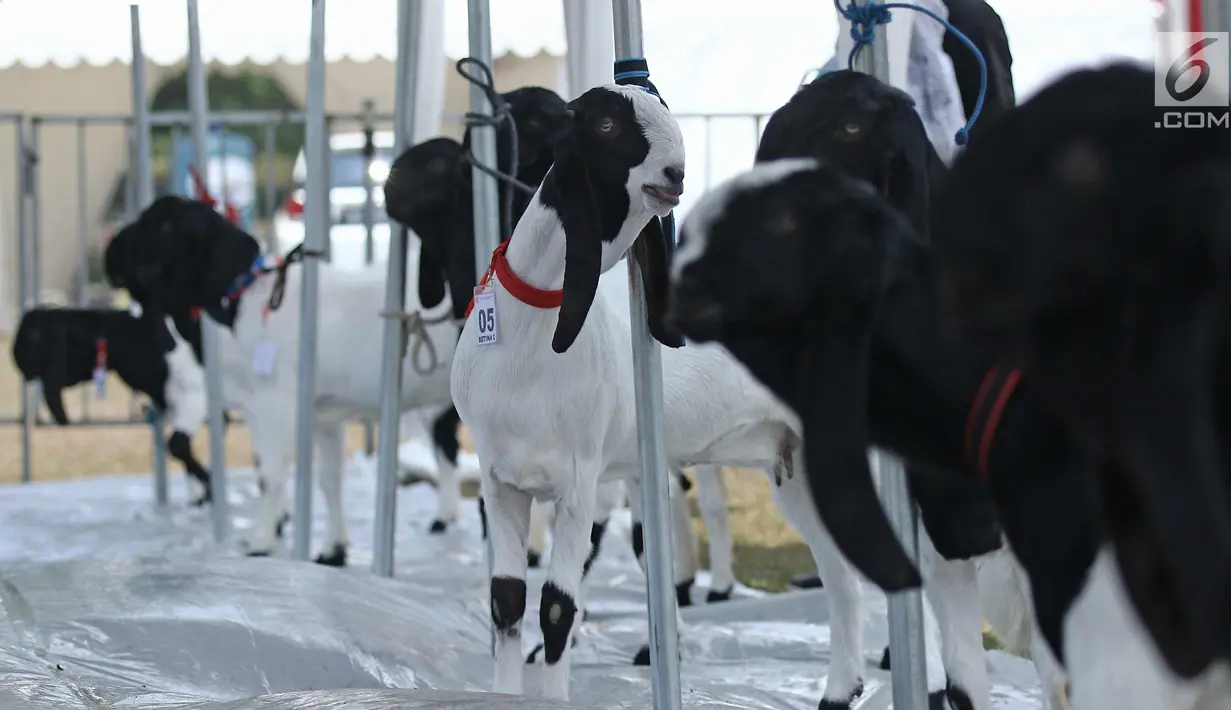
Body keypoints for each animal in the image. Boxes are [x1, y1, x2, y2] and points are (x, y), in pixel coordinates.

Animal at [11, 306, 211, 504]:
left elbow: (178, 444)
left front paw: (208, 488)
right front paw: (201, 494)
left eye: (35, 338)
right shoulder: (172, 402)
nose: (22, 365)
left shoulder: (195, 394)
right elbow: (177, 444)